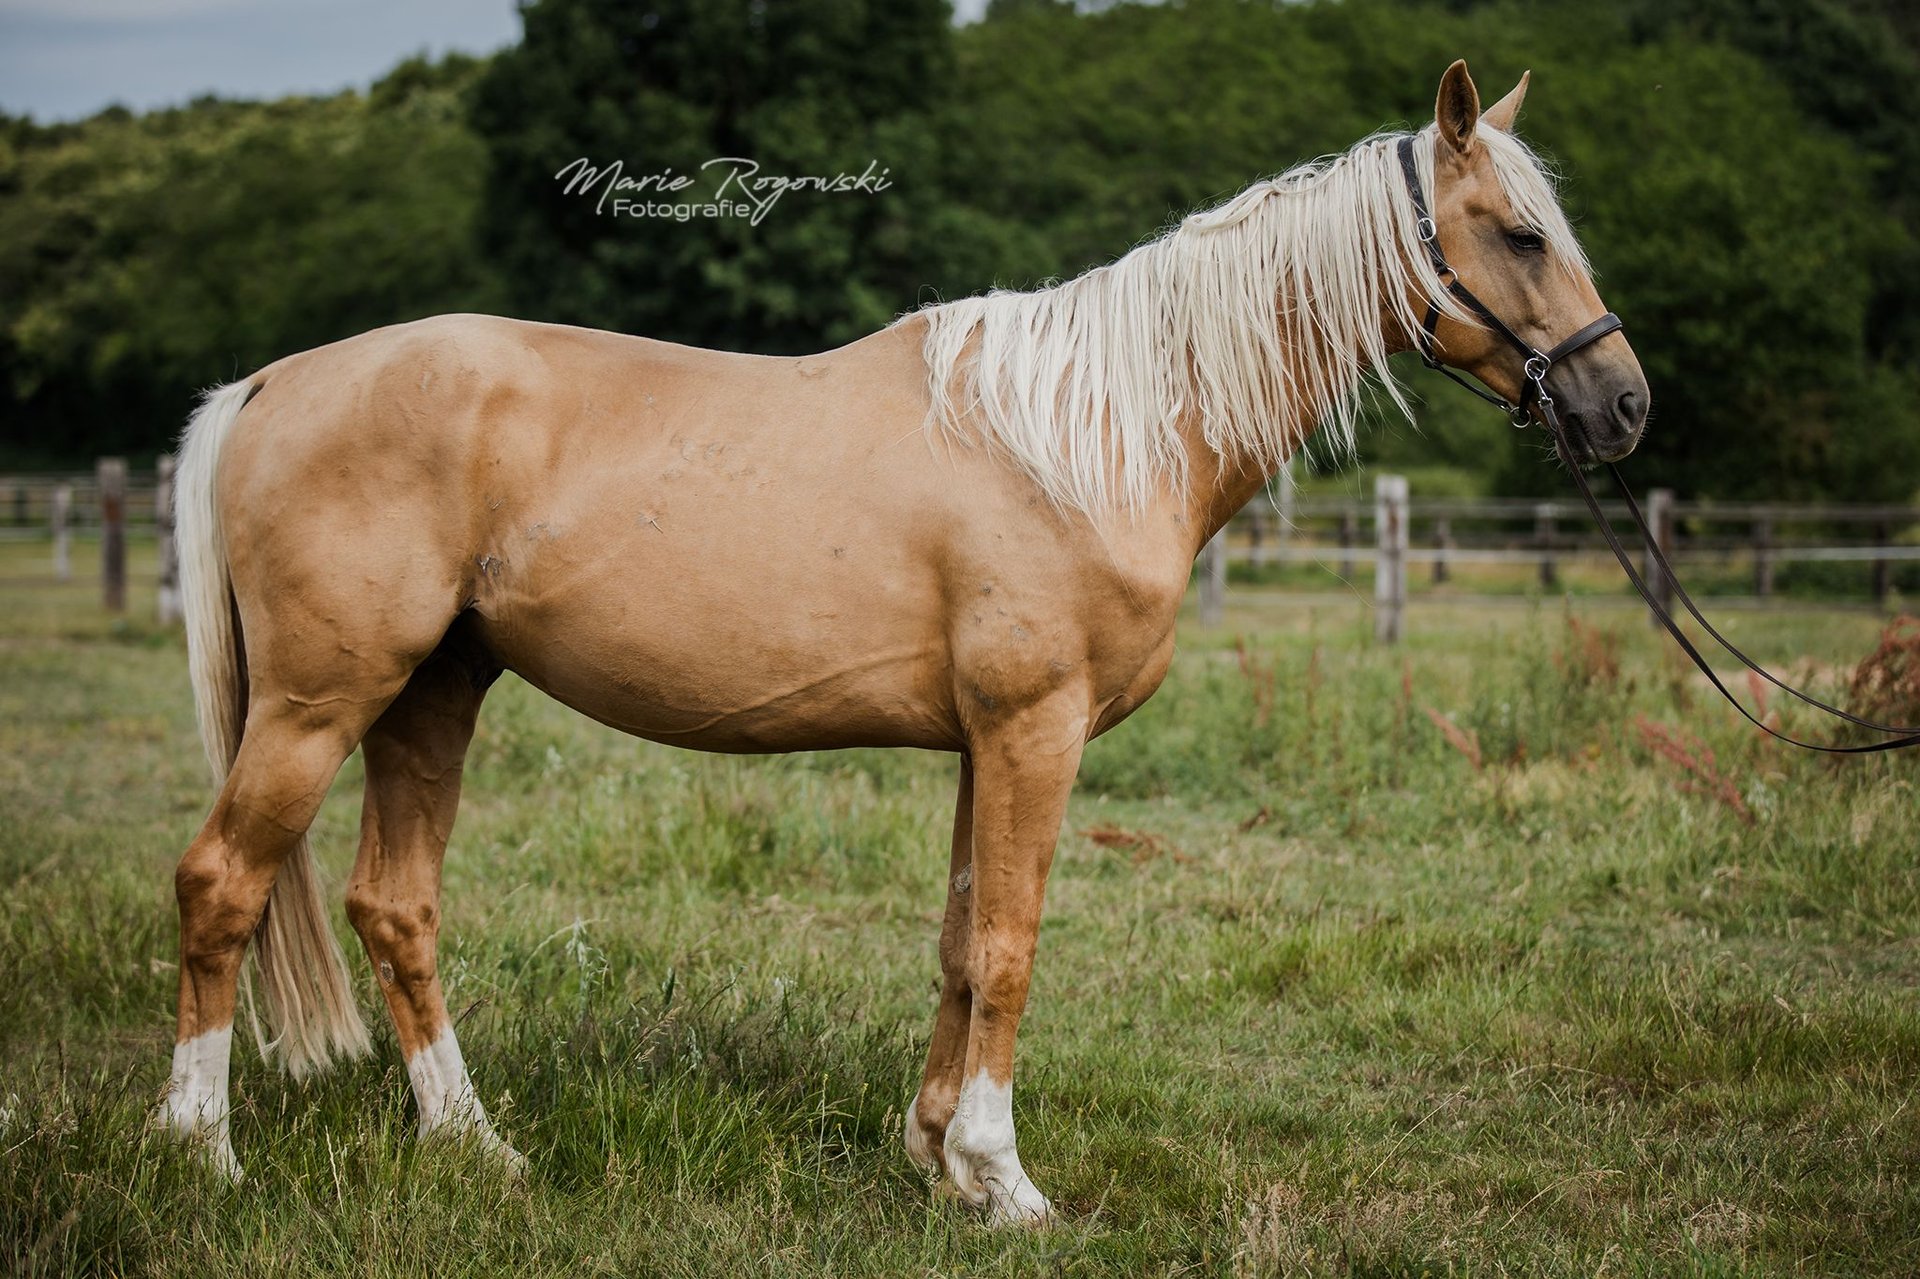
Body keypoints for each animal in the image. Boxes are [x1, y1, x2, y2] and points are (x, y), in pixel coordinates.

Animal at [154, 61, 1647, 1223]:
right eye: (1517, 233)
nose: (1622, 404)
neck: (1093, 433)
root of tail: (272, 381)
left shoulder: (984, 742)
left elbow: (960, 940)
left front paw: (937, 1160)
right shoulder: (1035, 727)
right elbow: (1013, 942)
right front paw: (1008, 1177)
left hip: (433, 691)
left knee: (394, 903)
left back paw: (477, 1147)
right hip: (320, 701)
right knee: (222, 883)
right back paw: (202, 1154)